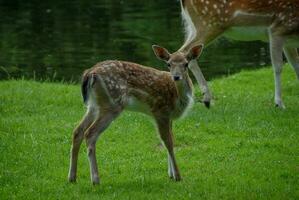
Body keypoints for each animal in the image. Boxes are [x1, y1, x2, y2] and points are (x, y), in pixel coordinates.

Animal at [68, 44, 204, 184]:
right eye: (169, 64)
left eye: (186, 64)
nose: (176, 77)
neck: (177, 97)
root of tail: (89, 73)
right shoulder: (161, 112)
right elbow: (168, 142)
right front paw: (177, 176)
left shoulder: (168, 116)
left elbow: (169, 139)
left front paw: (170, 174)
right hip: (112, 104)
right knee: (90, 133)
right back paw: (95, 179)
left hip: (94, 106)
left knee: (77, 131)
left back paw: (72, 177)